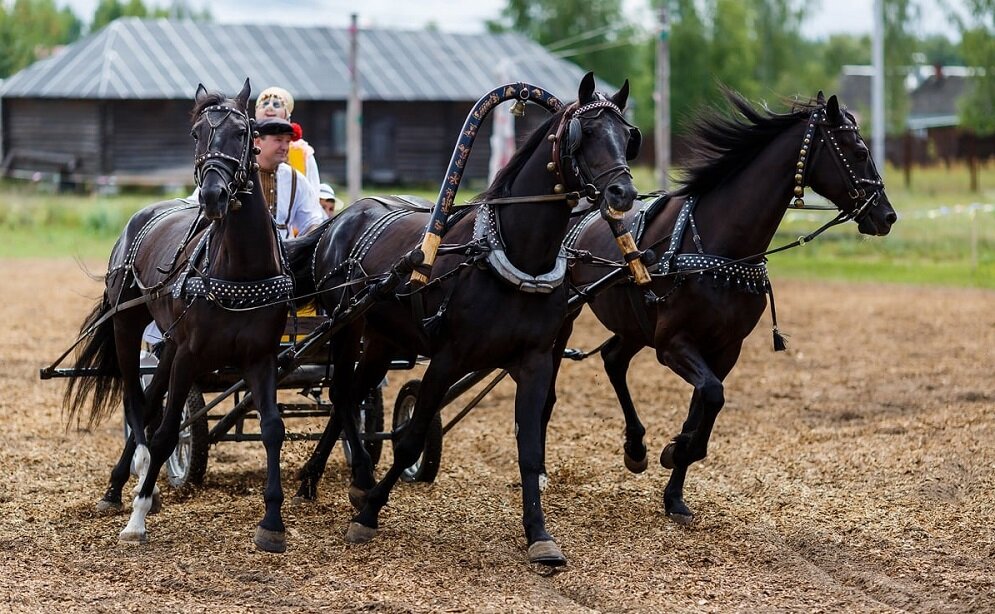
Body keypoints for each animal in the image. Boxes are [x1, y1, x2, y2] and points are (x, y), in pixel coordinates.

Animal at [63, 80, 292, 552]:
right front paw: (137, 518)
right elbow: (169, 432)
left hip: (168, 342)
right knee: (137, 404)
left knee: (149, 405)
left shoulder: (260, 358)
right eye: (196, 134)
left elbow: (273, 428)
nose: (213, 195)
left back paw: (125, 481)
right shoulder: (190, 355)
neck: (239, 270)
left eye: (243, 133)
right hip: (129, 328)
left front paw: (272, 522)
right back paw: (127, 483)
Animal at [288, 73, 640, 568]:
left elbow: (530, 447)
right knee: (341, 392)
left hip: (382, 339)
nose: (623, 193)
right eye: (585, 133)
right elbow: (412, 438)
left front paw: (539, 534)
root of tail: (344, 217)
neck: (513, 254)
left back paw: (322, 476)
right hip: (346, 323)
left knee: (352, 395)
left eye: (627, 136)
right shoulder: (448, 358)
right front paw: (370, 513)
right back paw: (359, 479)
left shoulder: (536, 361)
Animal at [556, 90, 900, 524]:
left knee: (614, 360)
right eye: (858, 151)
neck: (721, 246)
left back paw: (636, 449)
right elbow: (712, 395)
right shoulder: (673, 345)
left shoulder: (723, 349)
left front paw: (676, 482)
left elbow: (706, 402)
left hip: (634, 324)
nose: (887, 215)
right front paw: (678, 450)